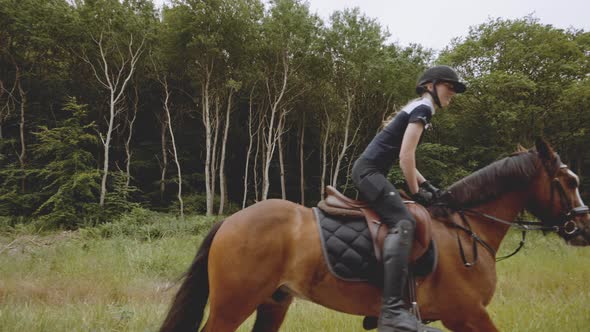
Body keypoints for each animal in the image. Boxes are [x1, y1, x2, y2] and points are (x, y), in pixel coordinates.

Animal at [160, 139, 590, 330]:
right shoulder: (467, 314)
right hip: (233, 304)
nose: (583, 228)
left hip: (273, 302)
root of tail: (231, 221)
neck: (465, 229)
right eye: (570, 181)